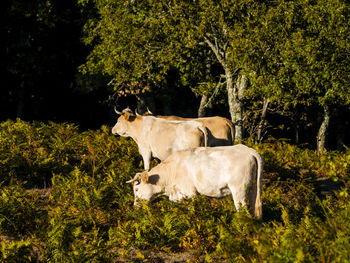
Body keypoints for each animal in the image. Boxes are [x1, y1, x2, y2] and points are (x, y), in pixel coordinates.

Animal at [126, 144, 262, 219]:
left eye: (136, 189)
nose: (135, 206)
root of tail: (247, 149)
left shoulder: (190, 193)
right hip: (253, 188)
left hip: (239, 190)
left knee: (243, 210)